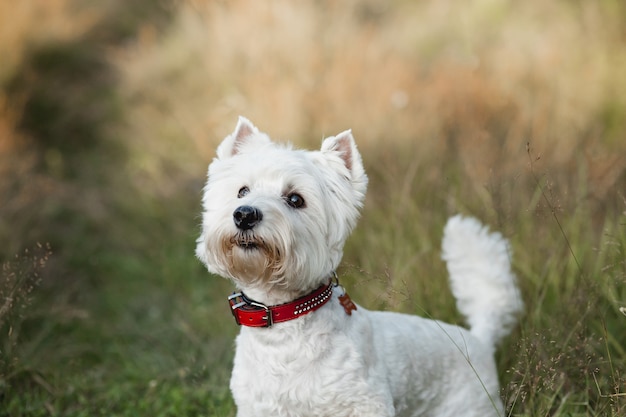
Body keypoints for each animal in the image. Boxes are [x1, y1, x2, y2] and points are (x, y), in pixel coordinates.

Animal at [196, 117, 520, 416]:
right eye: (242, 191)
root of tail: (479, 340)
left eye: (295, 199)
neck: (282, 321)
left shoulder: (363, 403)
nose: (244, 215)